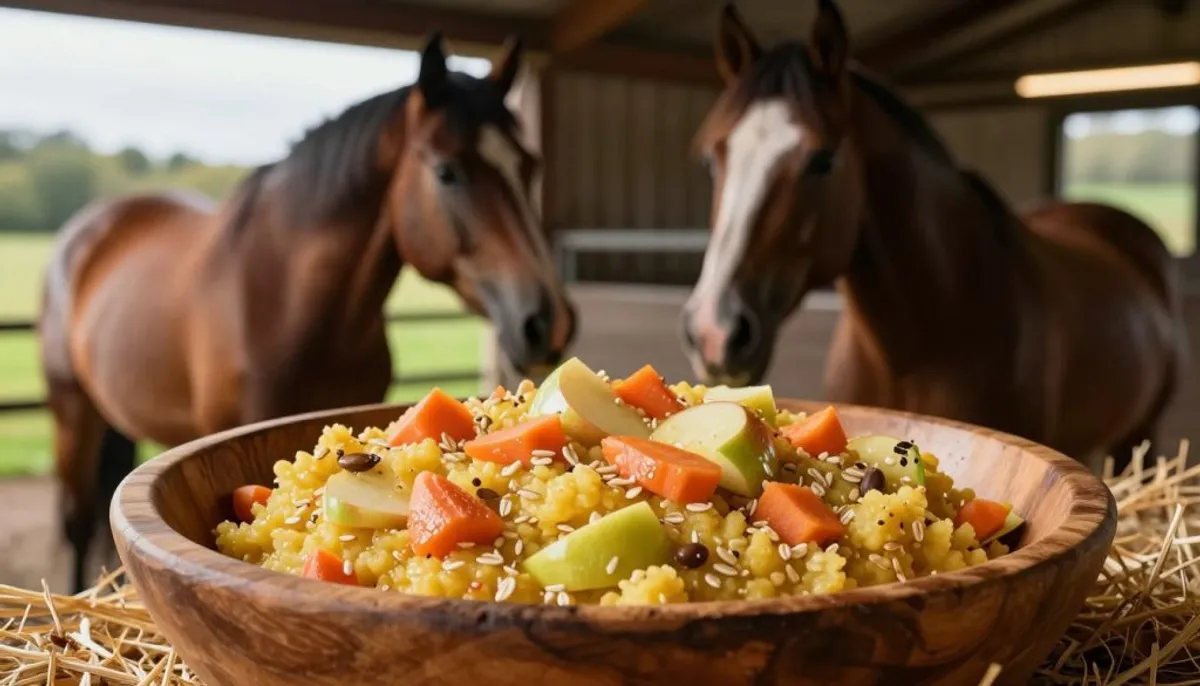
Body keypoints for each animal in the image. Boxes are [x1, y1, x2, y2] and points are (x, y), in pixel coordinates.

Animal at [39, 34, 576, 592]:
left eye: (530, 166)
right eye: (446, 171)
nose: (546, 322)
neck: (303, 308)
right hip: (71, 405)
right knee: (77, 519)